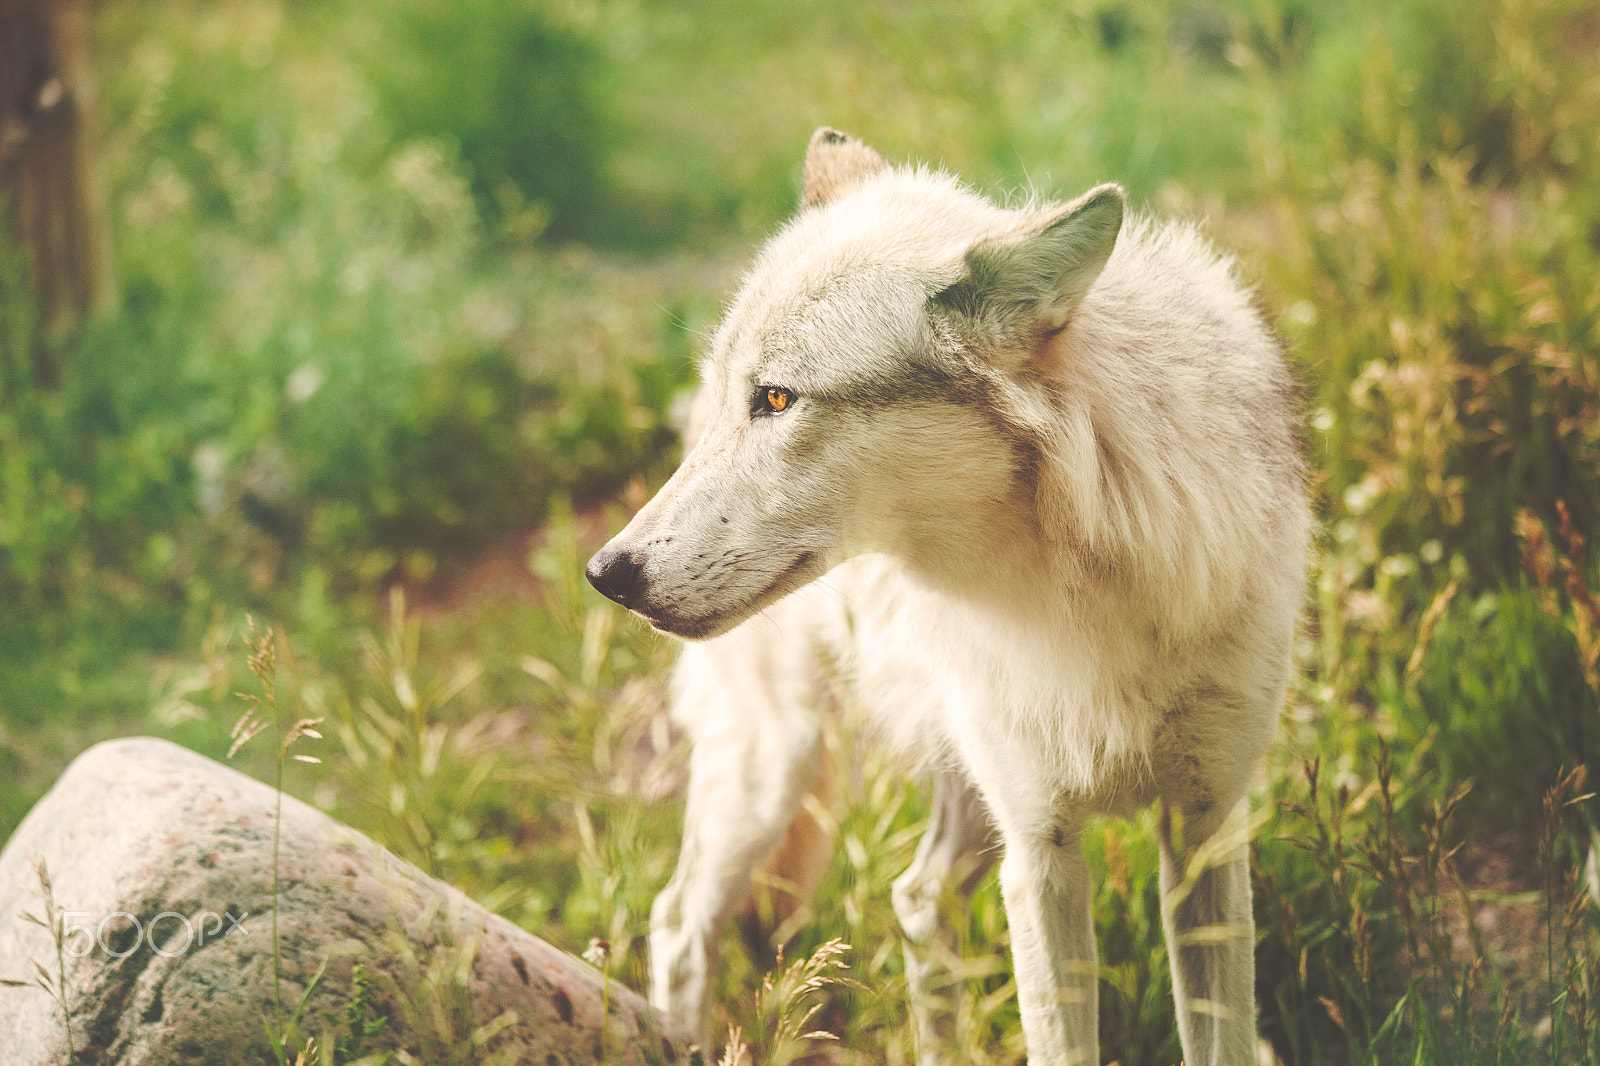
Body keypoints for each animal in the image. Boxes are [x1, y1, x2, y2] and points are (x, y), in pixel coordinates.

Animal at [585, 128, 1311, 1066]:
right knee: (678, 923)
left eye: (776, 399)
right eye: (732, 399)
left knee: (914, 897)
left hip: (957, 801)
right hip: (773, 772)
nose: (607, 573)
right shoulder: (1039, 853)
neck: (1081, 589)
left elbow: (1219, 1037)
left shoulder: (1204, 827)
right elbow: (1061, 1043)